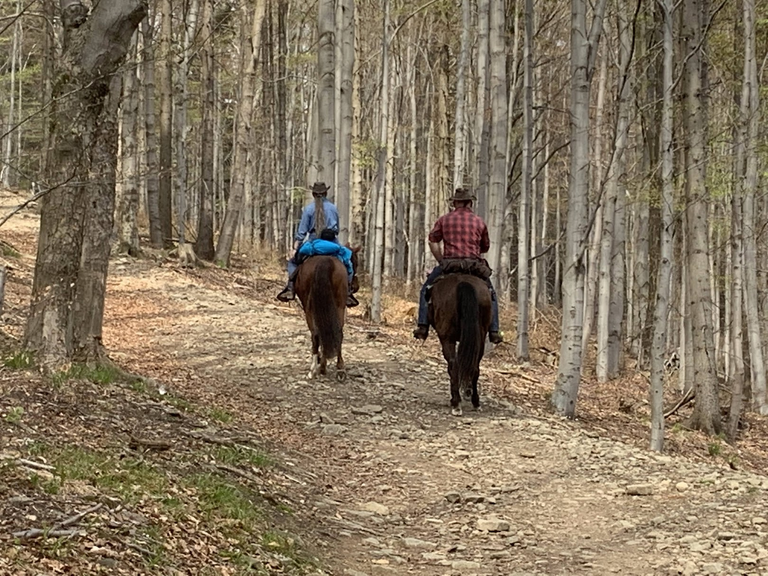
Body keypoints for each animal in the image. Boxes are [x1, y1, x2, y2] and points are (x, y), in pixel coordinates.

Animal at [294, 249, 360, 380]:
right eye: (355, 263)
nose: (356, 286)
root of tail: (325, 261)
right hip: (339, 306)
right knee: (338, 332)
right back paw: (339, 369)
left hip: (310, 309)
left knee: (316, 334)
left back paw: (314, 369)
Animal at [426, 274, 492, 414]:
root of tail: (463, 283)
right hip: (480, 338)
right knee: (475, 366)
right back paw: (475, 402)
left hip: (447, 338)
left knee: (453, 364)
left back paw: (456, 402)